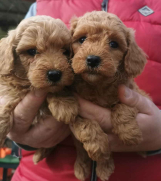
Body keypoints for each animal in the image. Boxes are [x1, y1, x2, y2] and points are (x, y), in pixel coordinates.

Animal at [70, 10, 147, 180]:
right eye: (82, 39)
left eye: (113, 44)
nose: (92, 59)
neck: (98, 86)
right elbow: (85, 123)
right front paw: (98, 146)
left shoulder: (133, 93)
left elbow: (122, 107)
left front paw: (130, 133)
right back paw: (82, 167)